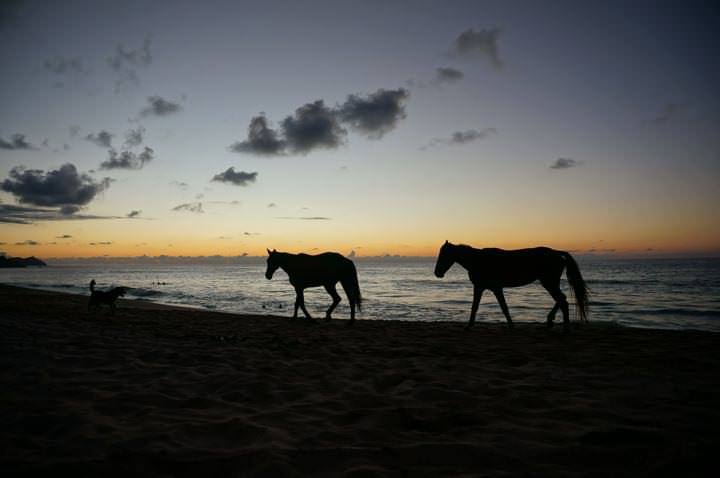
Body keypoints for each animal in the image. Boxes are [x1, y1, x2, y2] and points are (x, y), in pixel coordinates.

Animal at [436, 241, 588, 330]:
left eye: (443, 254)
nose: (437, 273)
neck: (478, 260)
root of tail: (557, 253)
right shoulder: (480, 287)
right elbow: (475, 307)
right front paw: (469, 325)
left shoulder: (495, 288)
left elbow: (503, 307)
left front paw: (510, 325)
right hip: (550, 283)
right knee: (561, 300)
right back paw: (555, 322)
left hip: (549, 282)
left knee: (562, 300)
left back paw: (560, 323)